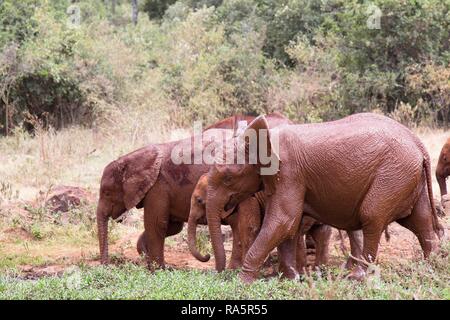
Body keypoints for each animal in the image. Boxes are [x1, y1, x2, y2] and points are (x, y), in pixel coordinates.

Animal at [188, 174, 332, 274]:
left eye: (199, 200)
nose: (207, 256)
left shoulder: (248, 199)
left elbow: (248, 228)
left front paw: (236, 271)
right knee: (321, 233)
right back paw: (318, 272)